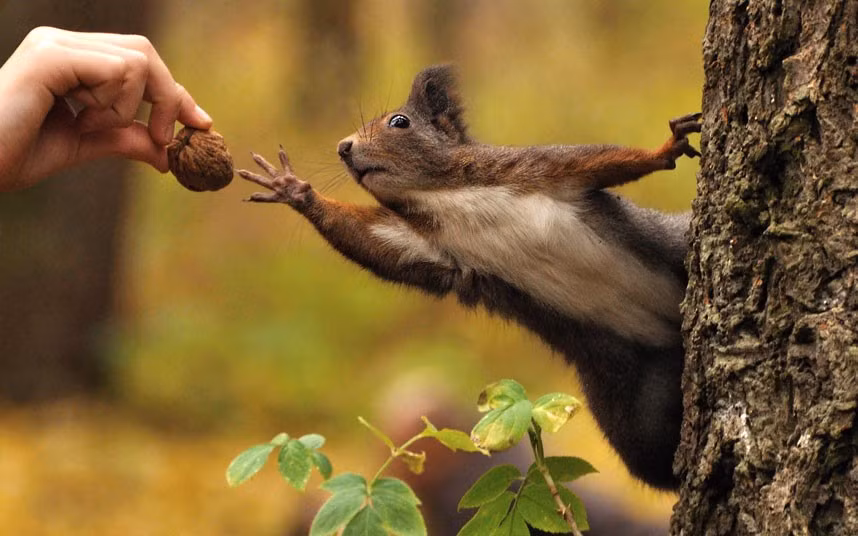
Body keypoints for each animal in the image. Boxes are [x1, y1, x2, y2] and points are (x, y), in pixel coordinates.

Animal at [238, 65, 701, 490]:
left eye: (400, 122)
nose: (343, 147)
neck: (442, 196)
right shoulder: (429, 247)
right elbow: (375, 245)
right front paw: (295, 191)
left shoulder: (537, 167)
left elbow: (603, 160)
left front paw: (665, 149)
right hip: (631, 400)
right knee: (654, 460)